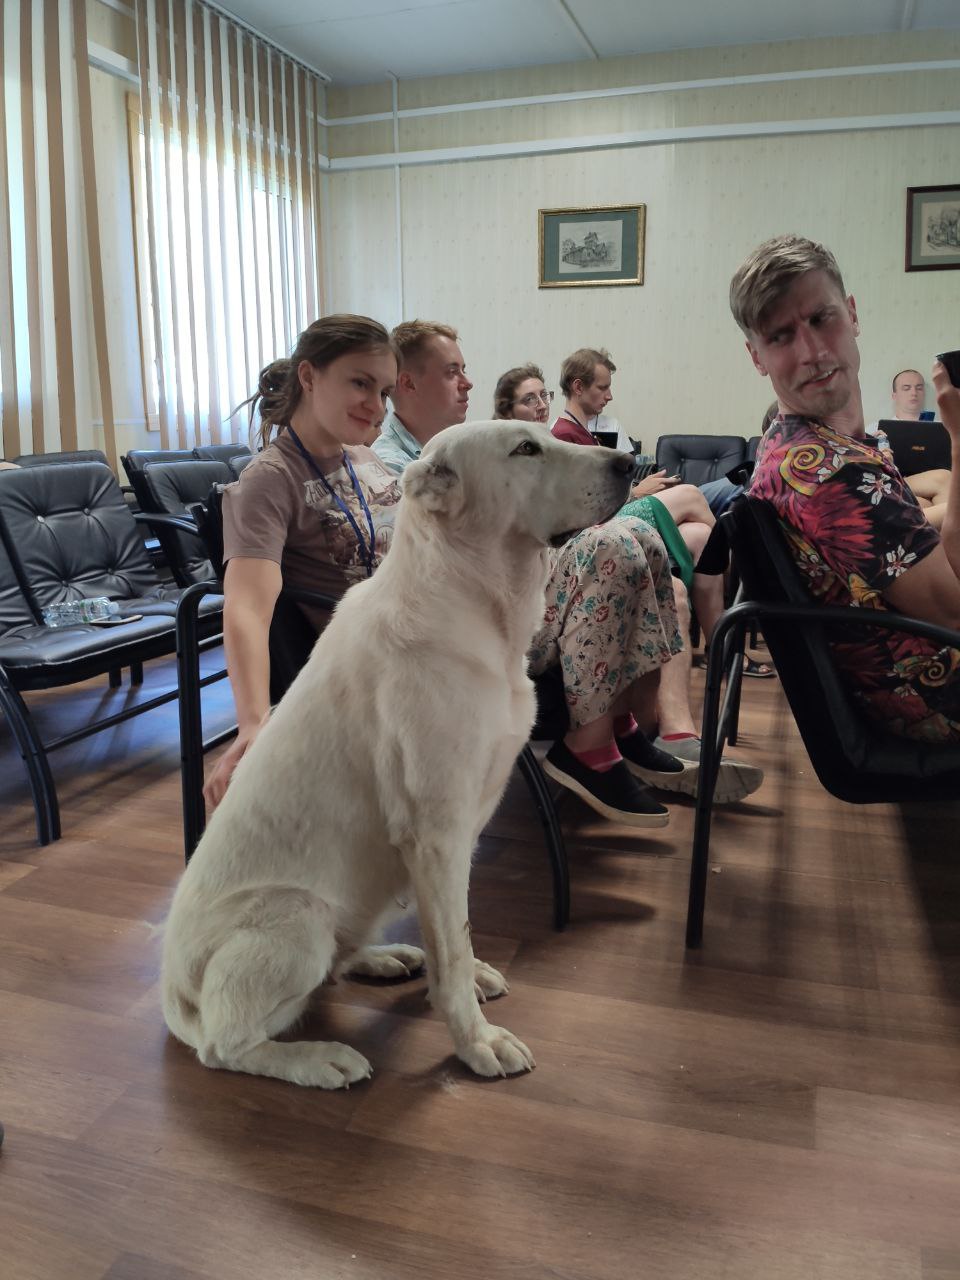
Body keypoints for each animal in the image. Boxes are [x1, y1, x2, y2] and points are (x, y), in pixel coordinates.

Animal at [161, 421, 634, 1087]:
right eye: (525, 450)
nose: (630, 463)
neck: (471, 602)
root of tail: (171, 995)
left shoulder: (459, 834)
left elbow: (454, 935)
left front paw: (462, 984)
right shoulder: (436, 833)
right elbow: (453, 950)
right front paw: (476, 1042)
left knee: (333, 969)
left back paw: (382, 959)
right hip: (298, 913)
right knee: (224, 1046)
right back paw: (318, 1059)